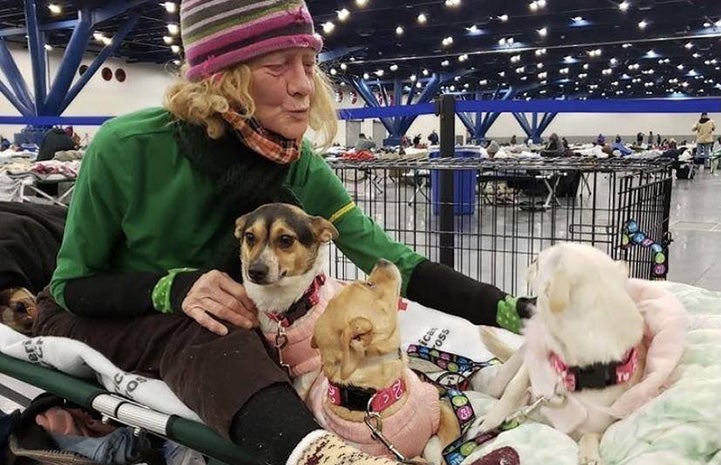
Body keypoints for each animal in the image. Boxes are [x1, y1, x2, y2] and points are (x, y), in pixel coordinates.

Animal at [480, 243, 644, 464]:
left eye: (537, 262)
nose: (531, 260)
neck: (573, 374)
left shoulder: (598, 426)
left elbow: (590, 435)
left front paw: (589, 454)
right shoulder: (533, 362)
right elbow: (514, 388)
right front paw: (491, 420)